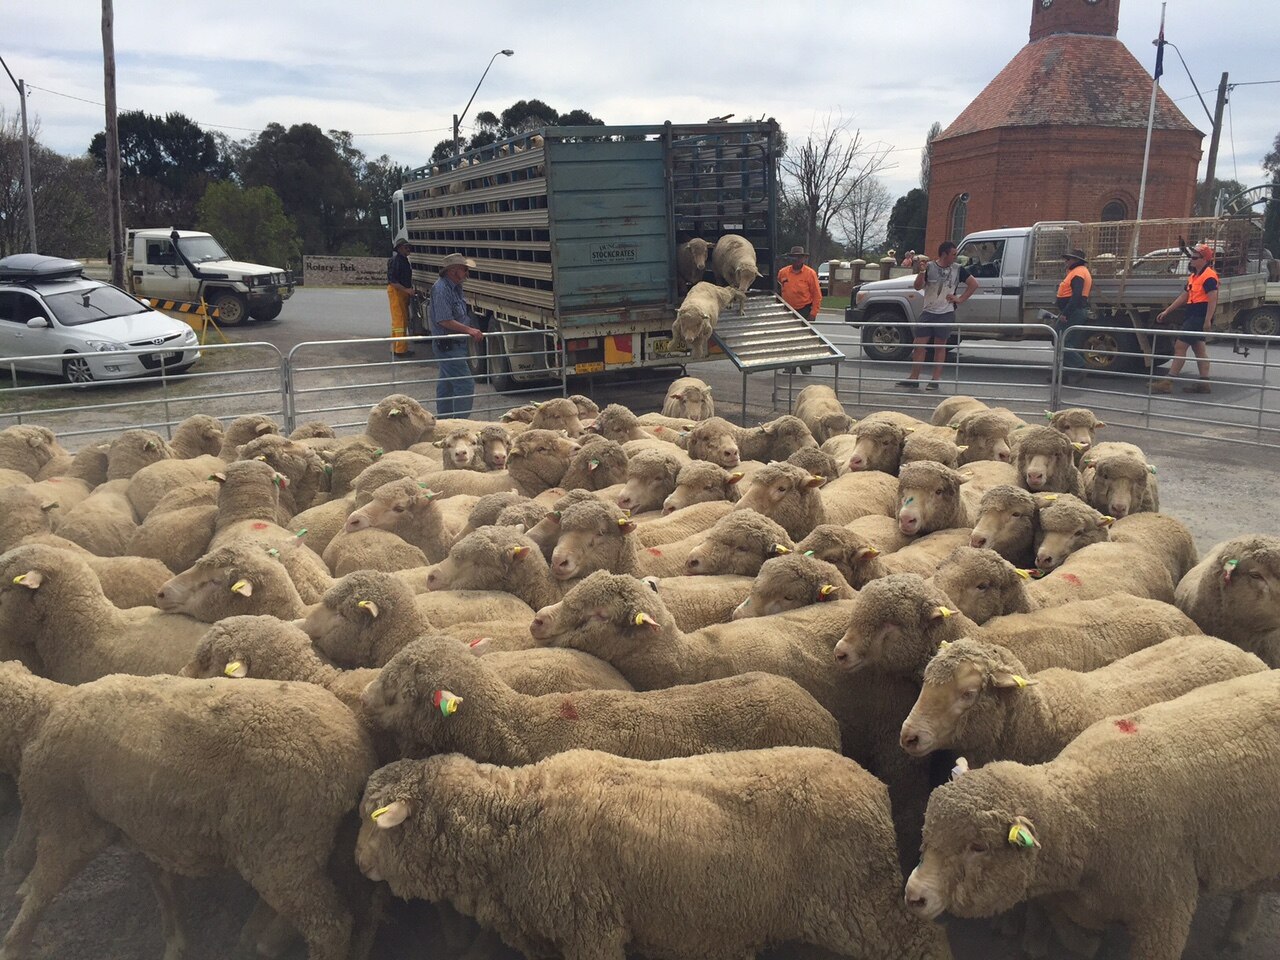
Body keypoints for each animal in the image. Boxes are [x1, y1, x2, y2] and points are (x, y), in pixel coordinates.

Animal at [2, 671, 377, 960]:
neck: (42, 717)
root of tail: (355, 750)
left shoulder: (71, 827)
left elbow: (42, 892)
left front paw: (13, 943)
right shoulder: (147, 831)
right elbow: (164, 890)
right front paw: (176, 945)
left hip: (282, 849)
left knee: (329, 926)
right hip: (320, 846)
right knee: (357, 912)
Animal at [355, 749, 952, 960]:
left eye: (372, 821)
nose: (357, 864)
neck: (518, 816)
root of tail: (872, 787)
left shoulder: (591, 929)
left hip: (860, 904)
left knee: (923, 942)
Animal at [904, 671, 1280, 957]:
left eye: (978, 847)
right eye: (928, 833)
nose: (914, 895)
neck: (1086, 807)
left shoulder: (1165, 912)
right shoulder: (1076, 907)